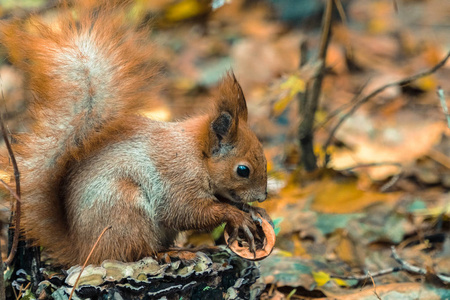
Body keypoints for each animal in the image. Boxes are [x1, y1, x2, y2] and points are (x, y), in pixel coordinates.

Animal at [0, 3, 270, 264]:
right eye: (242, 170)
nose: (263, 196)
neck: (197, 155)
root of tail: (82, 250)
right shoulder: (178, 182)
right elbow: (187, 213)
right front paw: (235, 214)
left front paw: (251, 211)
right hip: (126, 211)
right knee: (136, 252)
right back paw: (175, 253)